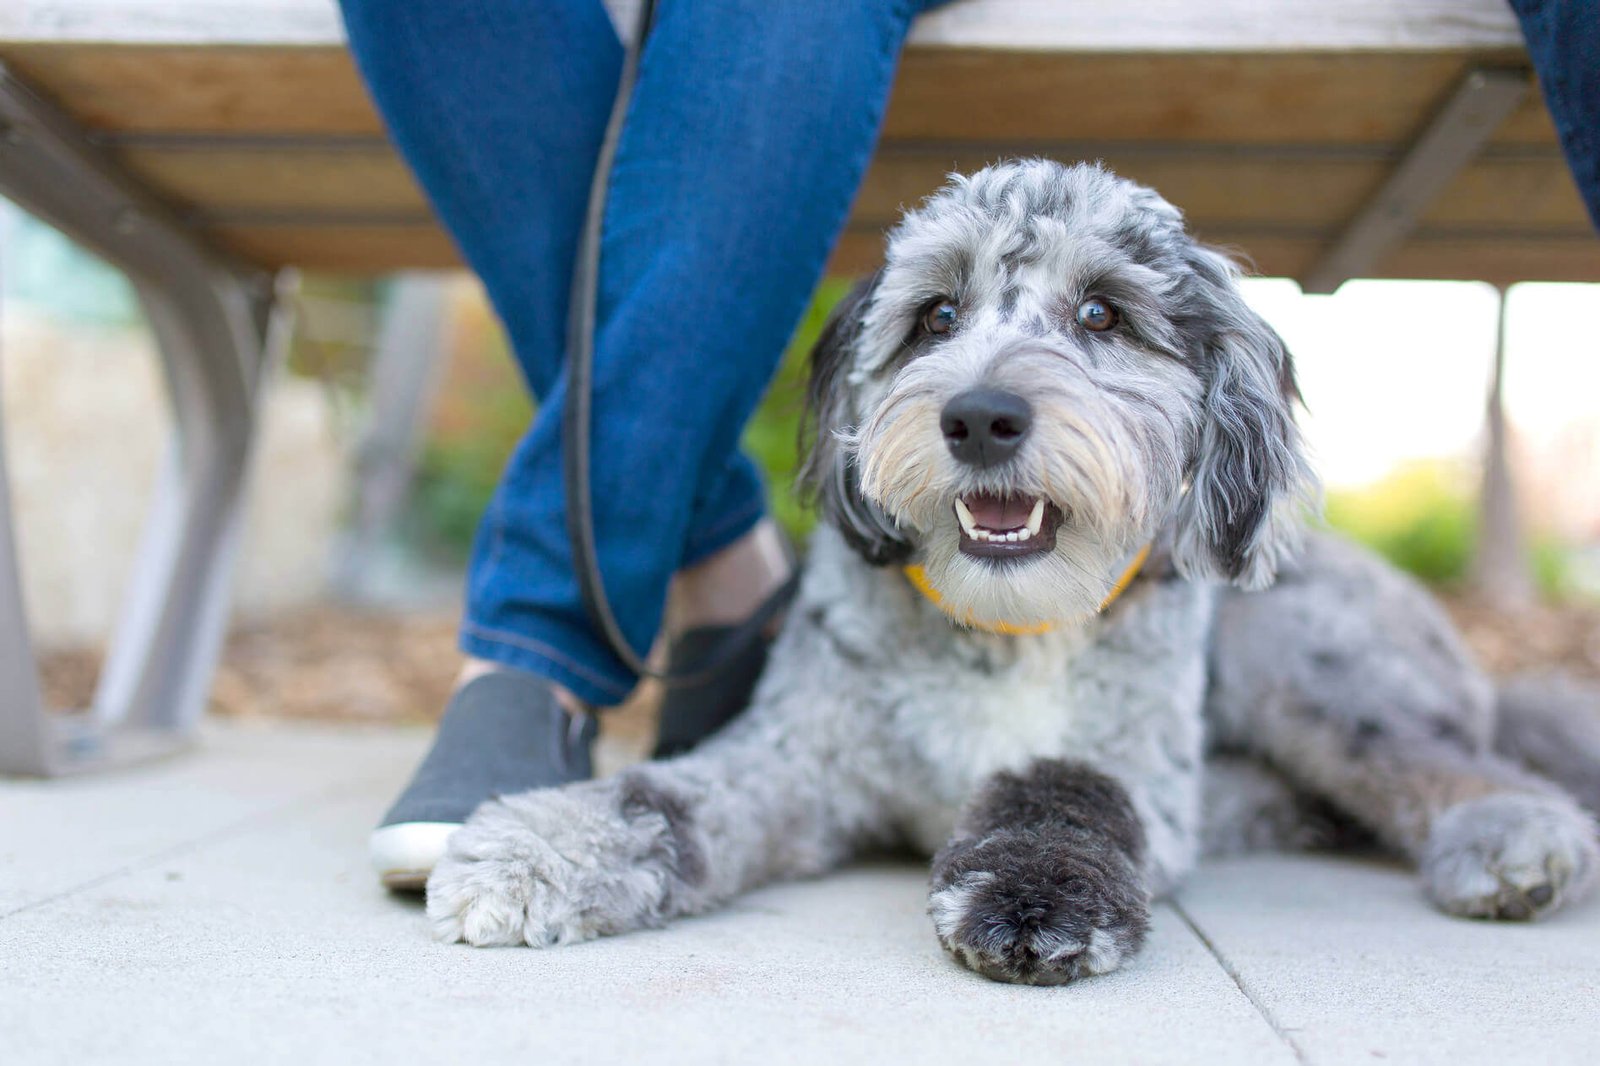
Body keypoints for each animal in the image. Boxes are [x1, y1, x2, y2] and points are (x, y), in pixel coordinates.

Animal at [425, 157, 1600, 979]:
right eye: (936, 315)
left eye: (1102, 313)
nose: (980, 415)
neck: (1008, 624)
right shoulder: (799, 761)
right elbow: (662, 797)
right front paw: (536, 850)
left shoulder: (1134, 762)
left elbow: (1064, 788)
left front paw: (1035, 901)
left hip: (1305, 667)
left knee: (1462, 764)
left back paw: (1518, 838)